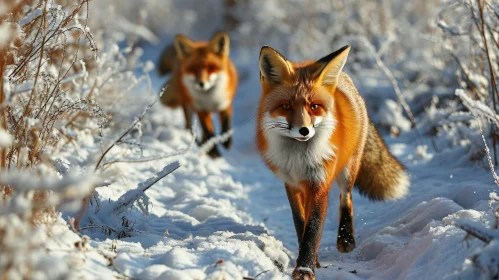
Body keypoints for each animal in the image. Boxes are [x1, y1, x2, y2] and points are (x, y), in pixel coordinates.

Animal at [258, 45, 410, 278]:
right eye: (286, 106)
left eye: (314, 106)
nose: (304, 130)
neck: (300, 159)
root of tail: (345, 80)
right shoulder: (291, 184)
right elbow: (300, 224)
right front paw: (311, 261)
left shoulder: (319, 184)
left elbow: (312, 229)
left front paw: (305, 268)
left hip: (348, 169)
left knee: (346, 197)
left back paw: (346, 239)